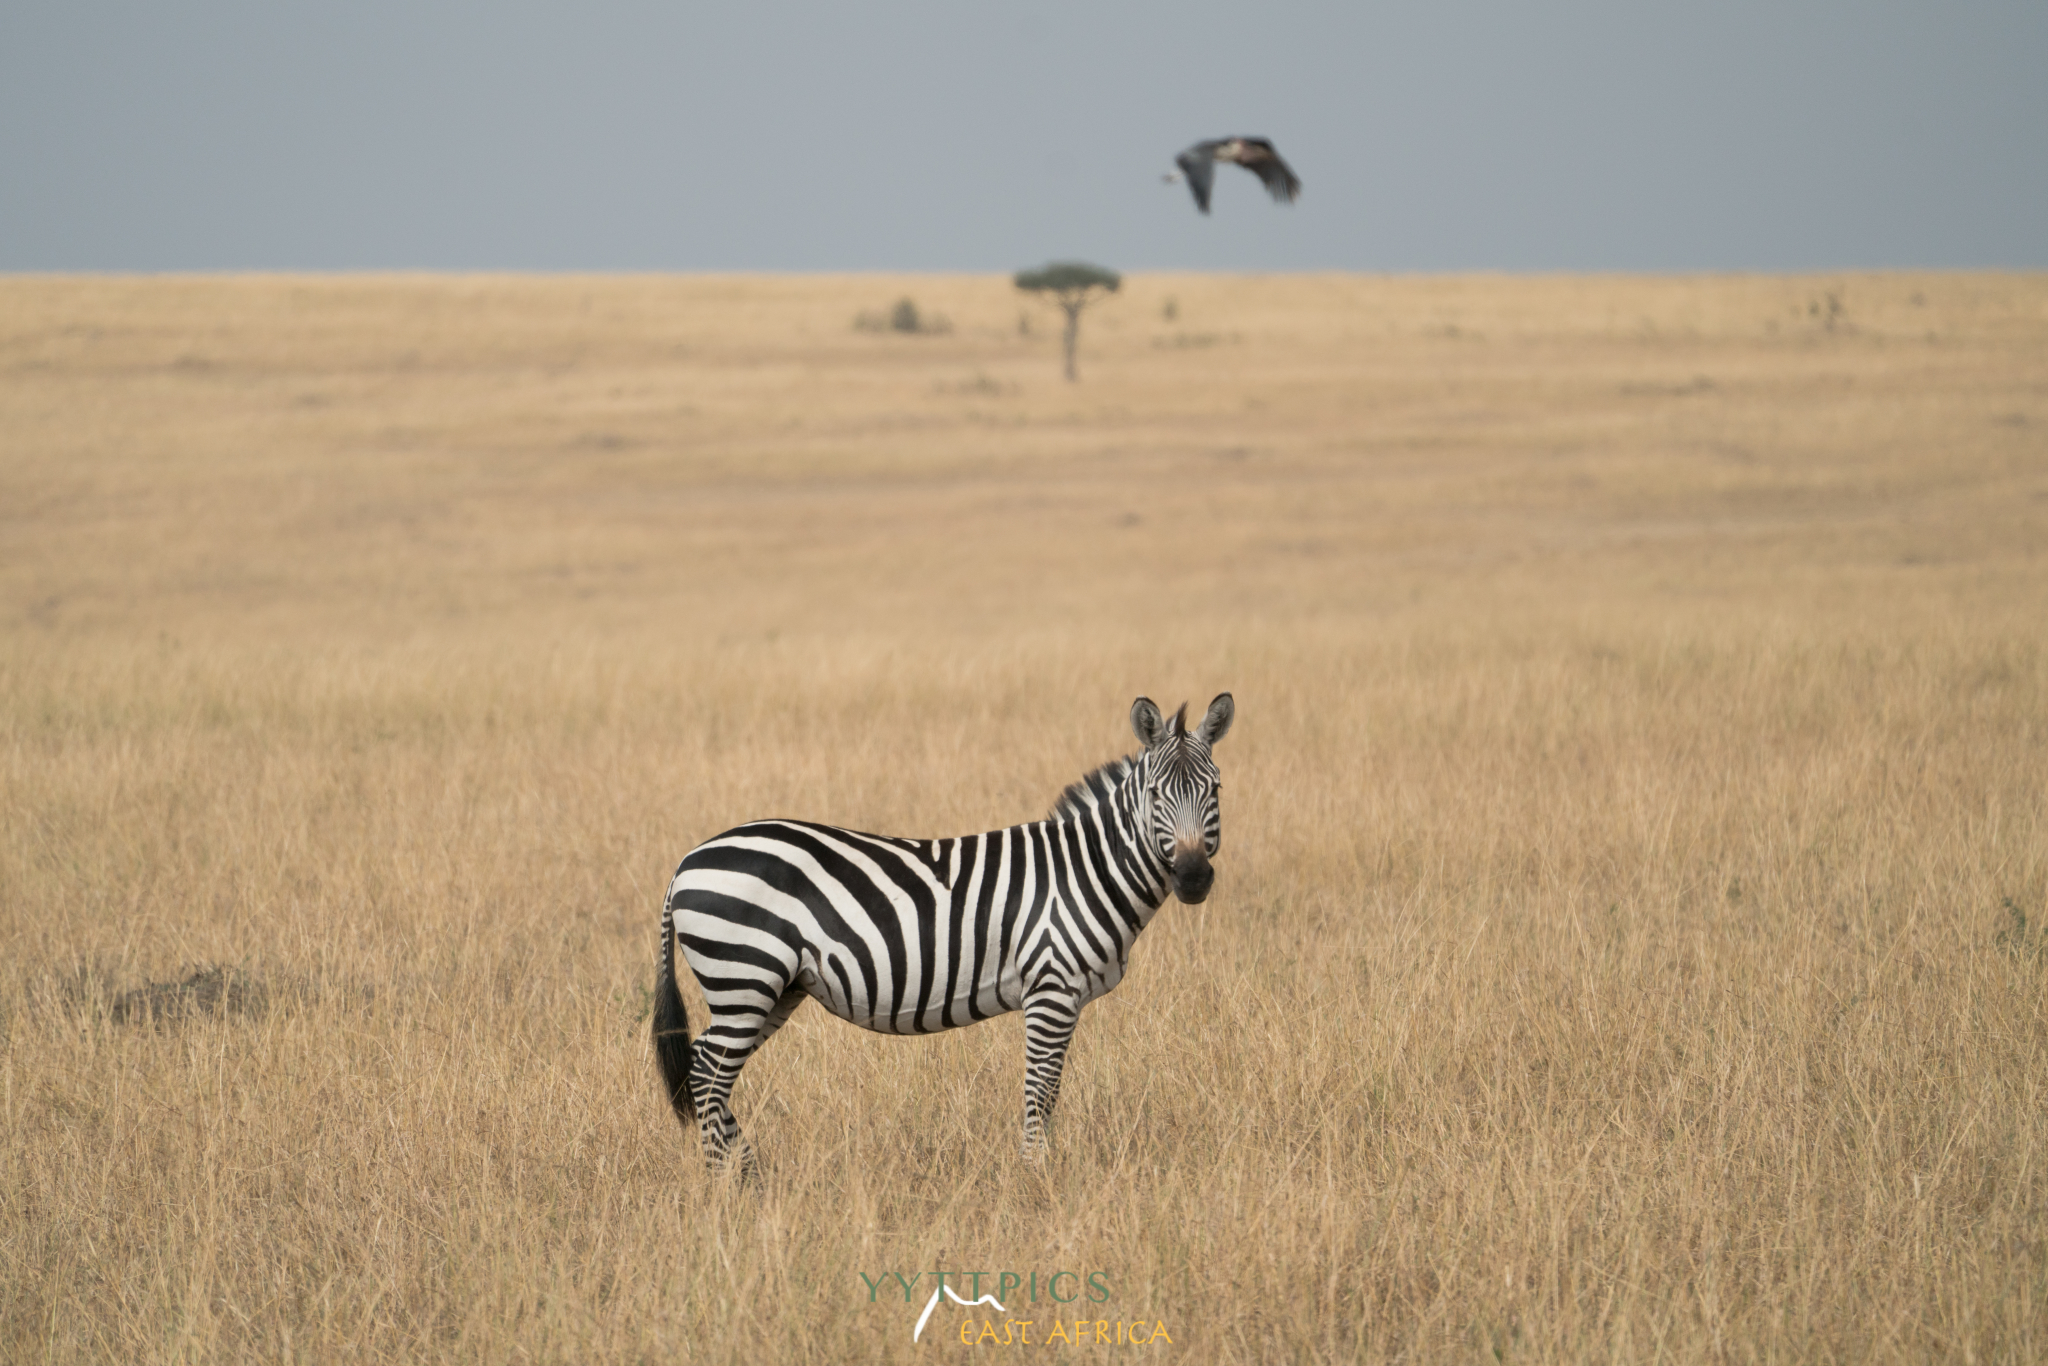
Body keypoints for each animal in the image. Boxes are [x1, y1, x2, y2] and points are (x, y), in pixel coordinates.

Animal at [655, 700, 1228, 1171]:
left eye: (1215, 790)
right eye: (1155, 794)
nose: (1194, 879)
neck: (1085, 871)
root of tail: (686, 862)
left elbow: (1047, 1088)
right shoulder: (1052, 989)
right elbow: (1042, 1088)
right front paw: (1036, 1174)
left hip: (773, 988)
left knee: (710, 1068)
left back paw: (747, 1174)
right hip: (744, 976)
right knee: (707, 1072)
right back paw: (726, 1182)